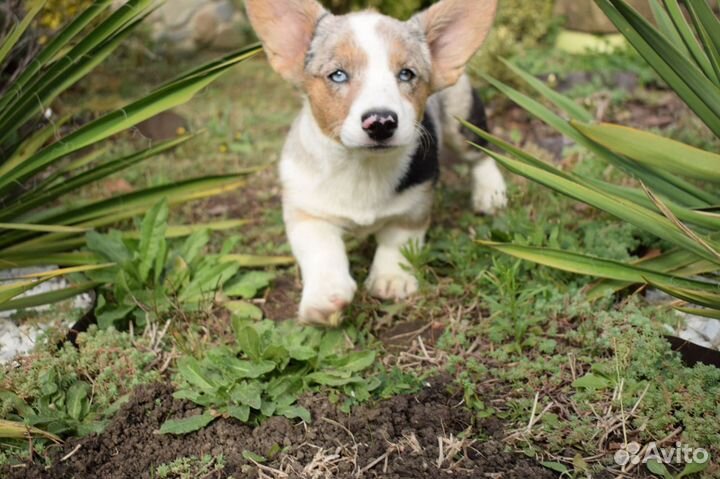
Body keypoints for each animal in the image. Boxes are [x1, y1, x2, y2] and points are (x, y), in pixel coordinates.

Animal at [248, 0, 506, 326]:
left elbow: (397, 241)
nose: (381, 122)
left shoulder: (413, 208)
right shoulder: (307, 213)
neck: (363, 166)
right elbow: (322, 251)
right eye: (338, 75)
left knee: (480, 154)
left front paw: (391, 279)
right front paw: (326, 297)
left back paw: (491, 194)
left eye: (407, 74)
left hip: (460, 119)